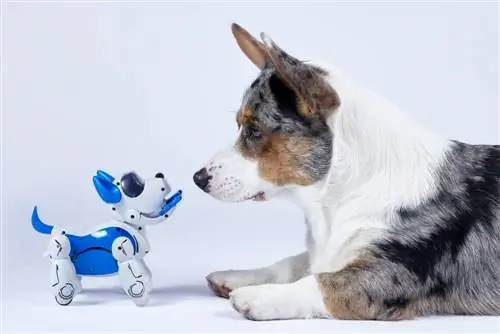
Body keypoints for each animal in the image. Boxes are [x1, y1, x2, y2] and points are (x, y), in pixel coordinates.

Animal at [29, 171, 182, 306]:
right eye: (133, 188)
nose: (160, 174)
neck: (126, 225)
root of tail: (54, 229)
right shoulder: (123, 249)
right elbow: (133, 277)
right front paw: (141, 299)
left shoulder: (138, 259)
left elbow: (145, 273)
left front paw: (147, 285)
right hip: (61, 250)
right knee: (60, 268)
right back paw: (64, 295)